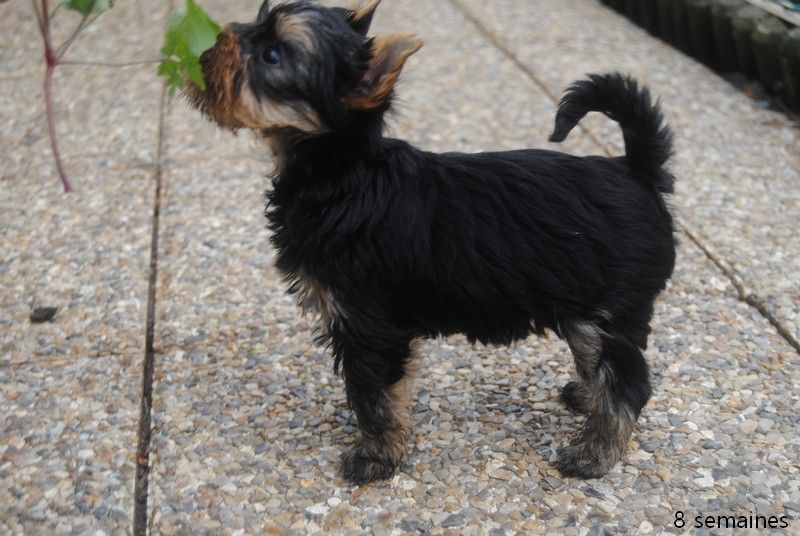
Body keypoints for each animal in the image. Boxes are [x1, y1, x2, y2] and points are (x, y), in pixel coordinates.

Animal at [187, 0, 676, 485]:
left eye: (273, 55)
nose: (207, 51)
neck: (342, 171)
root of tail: (635, 169)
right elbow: (387, 392)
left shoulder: (366, 323)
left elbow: (373, 395)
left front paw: (376, 456)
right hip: (582, 303)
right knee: (600, 361)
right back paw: (585, 398)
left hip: (608, 309)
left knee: (625, 381)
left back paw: (595, 451)